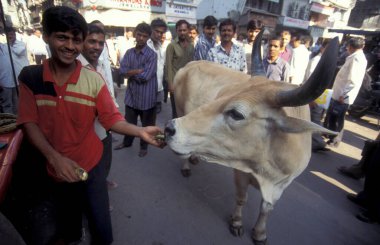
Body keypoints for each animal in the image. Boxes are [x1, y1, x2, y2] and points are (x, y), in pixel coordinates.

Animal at [163, 36, 338, 243]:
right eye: (221, 95)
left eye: (237, 114)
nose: (169, 128)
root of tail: (189, 65)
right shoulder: (241, 170)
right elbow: (241, 198)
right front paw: (237, 222)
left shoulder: (282, 184)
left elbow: (267, 209)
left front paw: (259, 233)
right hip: (179, 110)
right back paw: (186, 166)